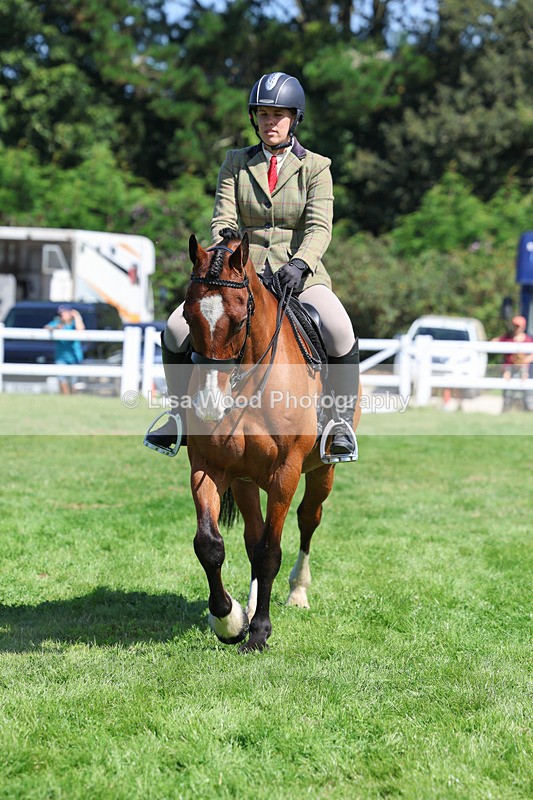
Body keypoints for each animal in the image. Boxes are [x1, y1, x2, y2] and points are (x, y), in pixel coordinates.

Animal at [183, 229, 361, 652]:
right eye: (186, 317)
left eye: (239, 320)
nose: (210, 406)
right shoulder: (208, 466)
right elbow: (210, 545)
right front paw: (229, 620)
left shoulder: (286, 473)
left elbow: (269, 552)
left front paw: (260, 632)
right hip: (246, 480)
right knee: (252, 535)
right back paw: (247, 606)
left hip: (321, 472)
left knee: (308, 519)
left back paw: (297, 592)